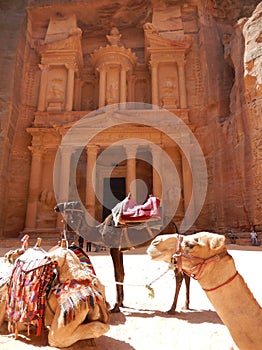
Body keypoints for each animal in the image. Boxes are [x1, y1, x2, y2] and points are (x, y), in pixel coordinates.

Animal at [54, 201, 190, 314]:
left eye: (70, 204)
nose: (56, 207)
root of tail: (174, 226)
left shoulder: (114, 249)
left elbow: (117, 274)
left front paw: (116, 306)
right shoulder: (120, 250)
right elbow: (122, 273)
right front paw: (121, 303)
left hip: (168, 250)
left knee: (179, 275)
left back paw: (172, 308)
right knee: (184, 272)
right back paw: (185, 305)